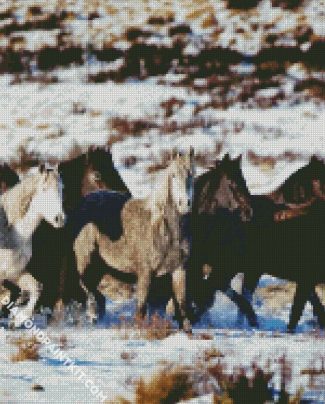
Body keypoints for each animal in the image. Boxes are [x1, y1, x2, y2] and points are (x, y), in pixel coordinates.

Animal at [0, 166, 64, 326]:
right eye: (44, 189)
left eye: (61, 188)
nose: (59, 219)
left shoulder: (14, 272)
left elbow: (36, 288)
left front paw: (18, 320)